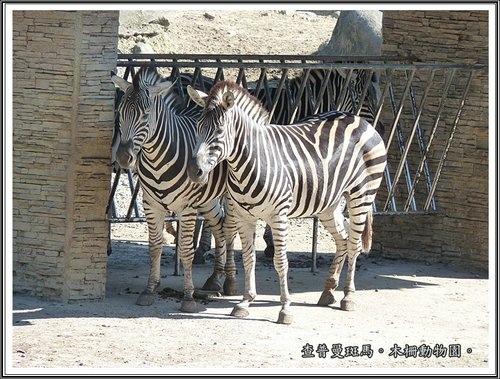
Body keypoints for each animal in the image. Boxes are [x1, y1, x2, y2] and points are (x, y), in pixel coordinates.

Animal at [111, 67, 240, 312]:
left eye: (145, 115)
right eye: (120, 113)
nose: (123, 158)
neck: (157, 160)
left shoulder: (186, 208)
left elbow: (186, 251)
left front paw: (188, 298)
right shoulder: (150, 204)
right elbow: (154, 247)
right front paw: (149, 290)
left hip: (230, 195)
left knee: (229, 228)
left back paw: (229, 281)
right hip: (208, 199)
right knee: (219, 226)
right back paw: (215, 279)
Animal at [188, 81, 386, 326]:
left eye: (219, 131)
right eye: (198, 127)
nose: (194, 171)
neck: (252, 160)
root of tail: (360, 120)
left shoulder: (278, 216)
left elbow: (280, 262)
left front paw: (285, 309)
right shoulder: (244, 216)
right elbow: (249, 259)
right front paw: (244, 302)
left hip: (362, 194)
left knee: (354, 244)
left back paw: (348, 297)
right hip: (329, 204)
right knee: (343, 239)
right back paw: (328, 292)